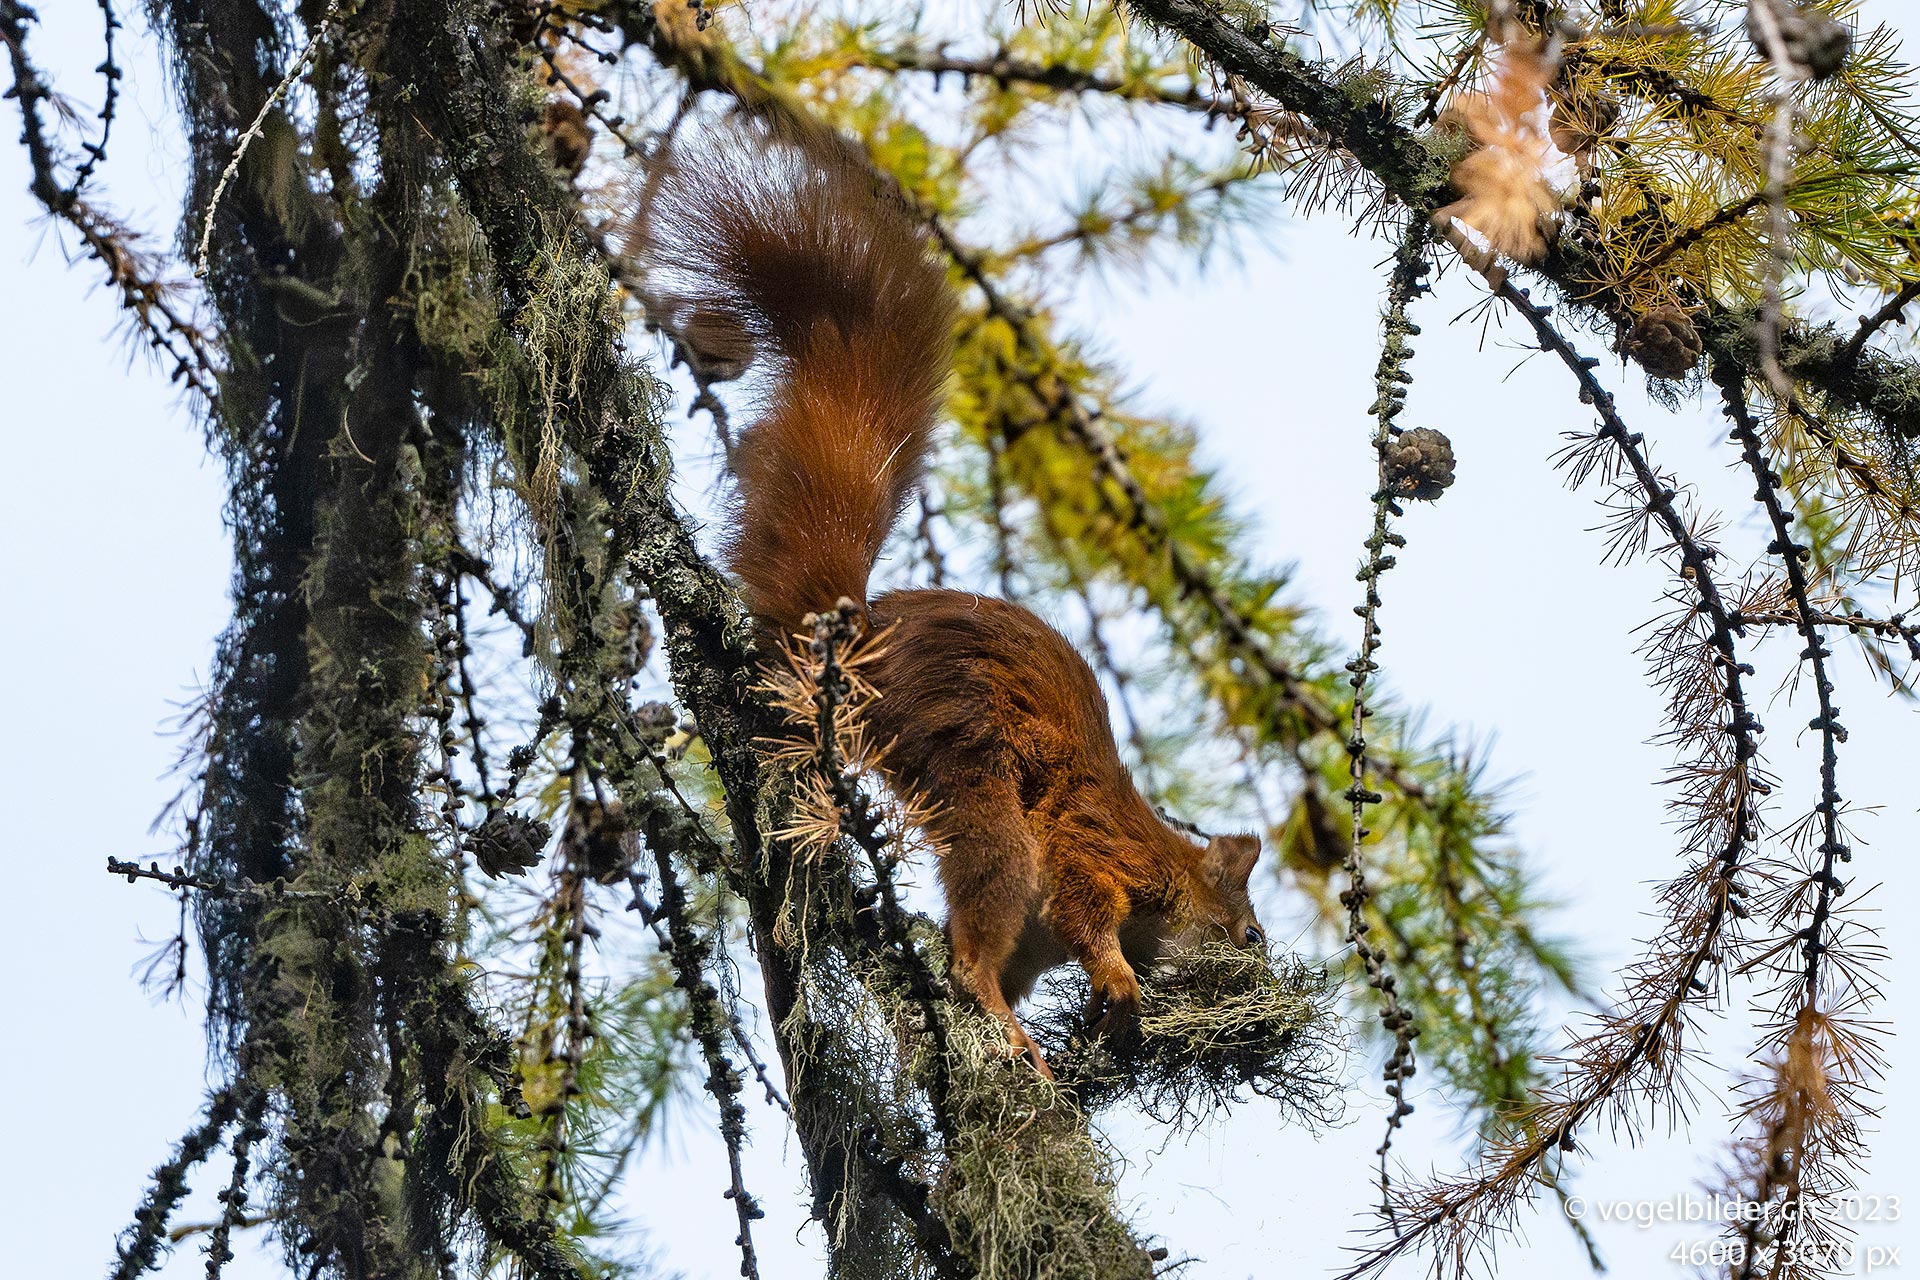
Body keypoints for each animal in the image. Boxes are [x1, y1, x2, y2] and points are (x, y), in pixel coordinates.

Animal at [632, 122, 1267, 1076]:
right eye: (1253, 935)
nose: (1264, 987)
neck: (1167, 866)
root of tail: (856, 640)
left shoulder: (1044, 937)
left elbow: (1044, 949)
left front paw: (1099, 1011)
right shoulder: (1095, 849)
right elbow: (1083, 907)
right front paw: (1117, 981)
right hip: (970, 757)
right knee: (982, 915)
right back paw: (1003, 1027)